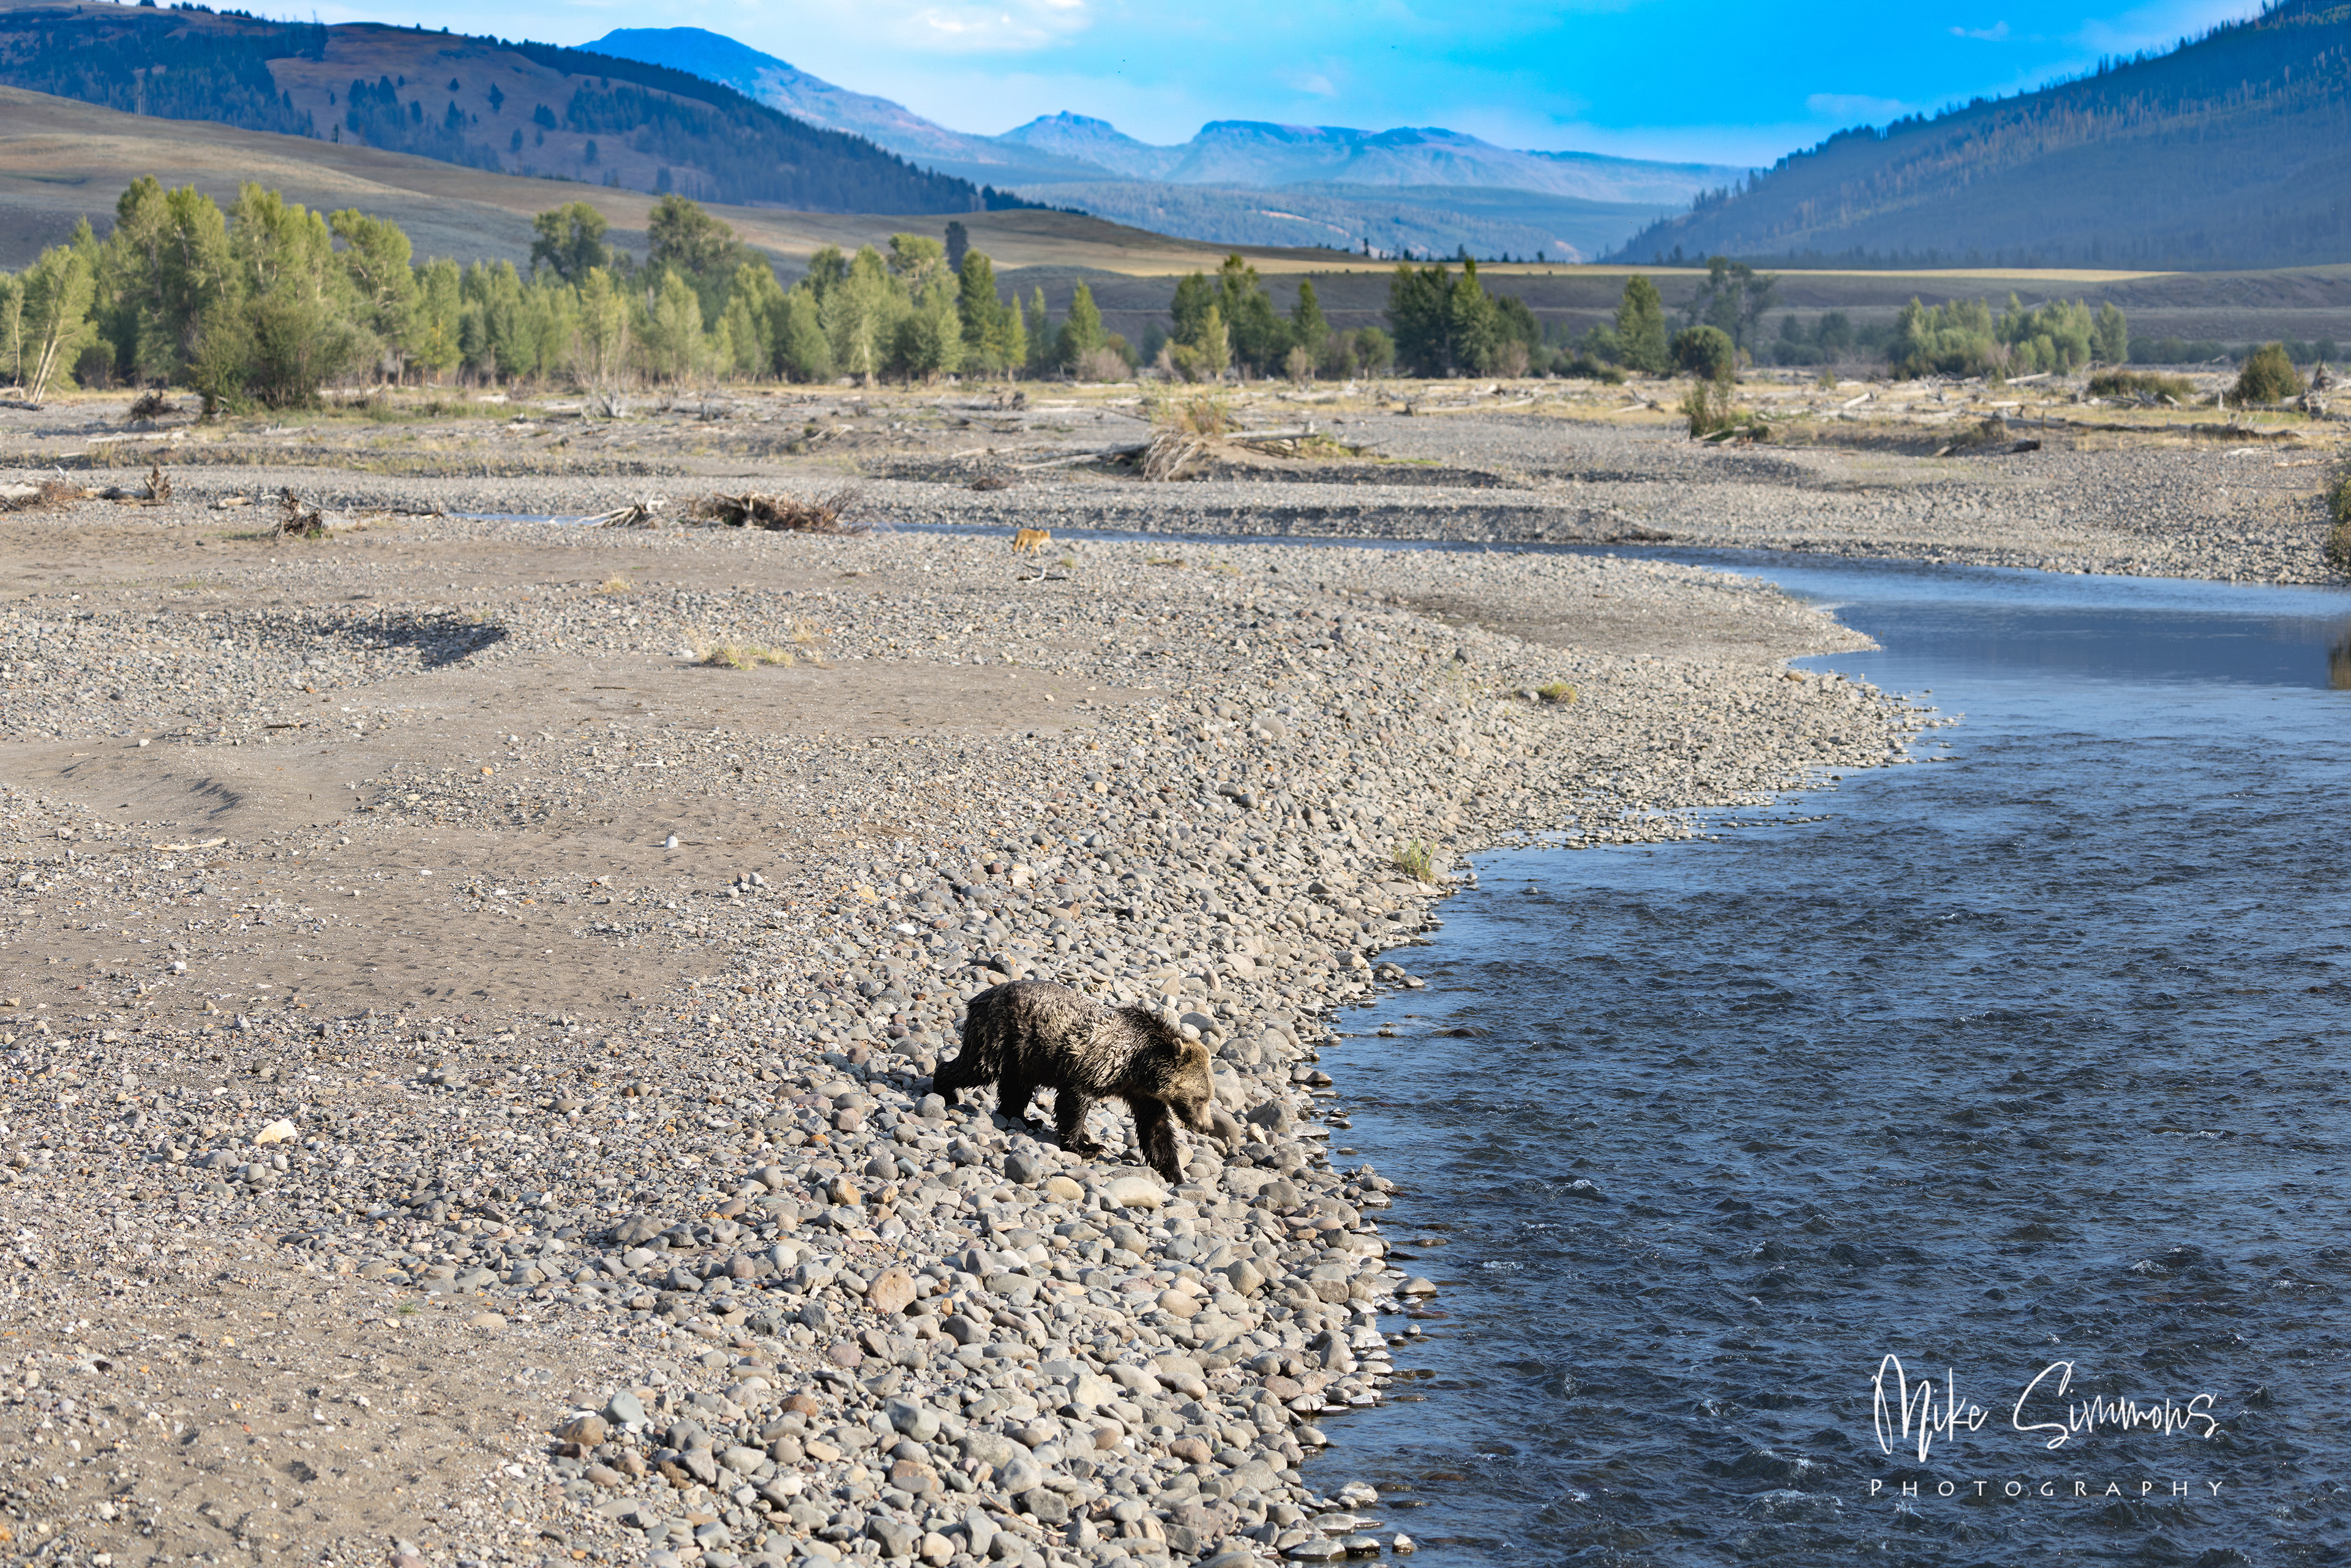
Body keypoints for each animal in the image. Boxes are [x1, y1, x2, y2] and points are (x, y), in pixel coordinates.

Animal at [934, 979, 1216, 1182]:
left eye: (1209, 1098)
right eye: (1200, 1098)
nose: (1206, 1126)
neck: (1138, 1068)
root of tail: (981, 995)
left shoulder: (1145, 1096)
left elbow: (1156, 1131)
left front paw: (1176, 1175)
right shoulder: (1093, 1065)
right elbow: (1074, 1102)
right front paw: (1088, 1146)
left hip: (1023, 1057)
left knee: (1016, 1087)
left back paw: (1025, 1119)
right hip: (1002, 1033)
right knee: (977, 1067)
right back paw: (944, 1090)